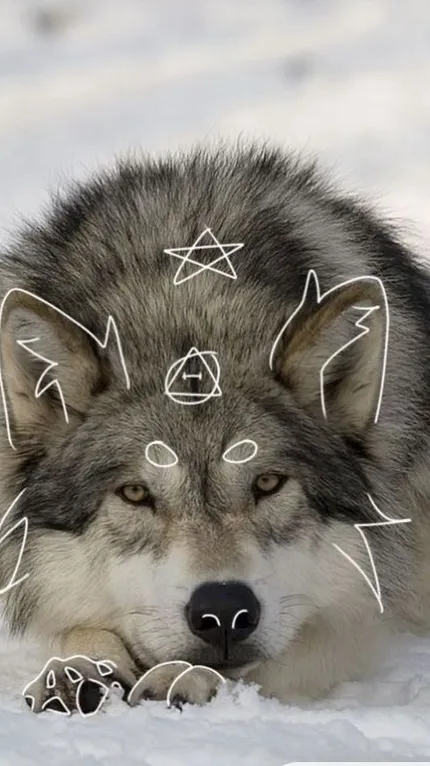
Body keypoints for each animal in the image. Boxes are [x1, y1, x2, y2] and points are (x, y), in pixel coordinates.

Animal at [1, 142, 430, 714]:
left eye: (268, 482)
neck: (187, 298)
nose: (224, 610)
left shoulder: (354, 615)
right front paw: (78, 667)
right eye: (135, 493)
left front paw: (186, 676)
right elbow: (72, 626)